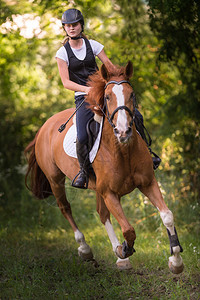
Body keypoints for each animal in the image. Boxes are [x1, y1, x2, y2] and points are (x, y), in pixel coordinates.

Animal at [25, 62, 184, 274]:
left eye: (131, 94)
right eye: (107, 96)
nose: (123, 131)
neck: (122, 149)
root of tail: (44, 126)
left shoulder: (147, 183)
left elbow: (167, 216)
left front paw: (176, 261)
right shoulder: (110, 193)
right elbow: (128, 229)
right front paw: (124, 249)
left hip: (97, 188)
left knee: (102, 214)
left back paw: (118, 257)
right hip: (55, 180)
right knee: (66, 208)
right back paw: (85, 249)